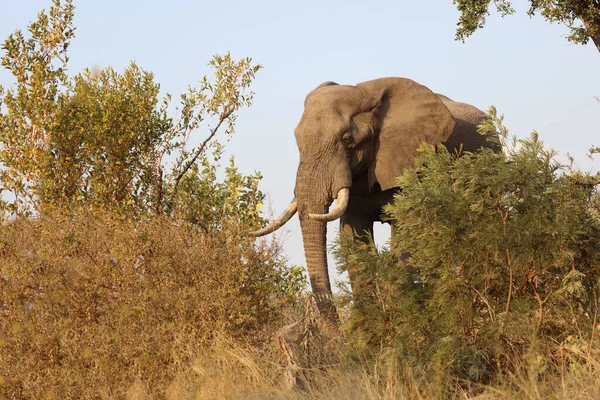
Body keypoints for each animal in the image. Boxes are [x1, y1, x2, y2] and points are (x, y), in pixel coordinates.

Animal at [251, 77, 500, 328]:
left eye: (347, 140)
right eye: (297, 142)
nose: (339, 334)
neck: (366, 93)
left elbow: (405, 237)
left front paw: (401, 324)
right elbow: (353, 236)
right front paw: (368, 331)